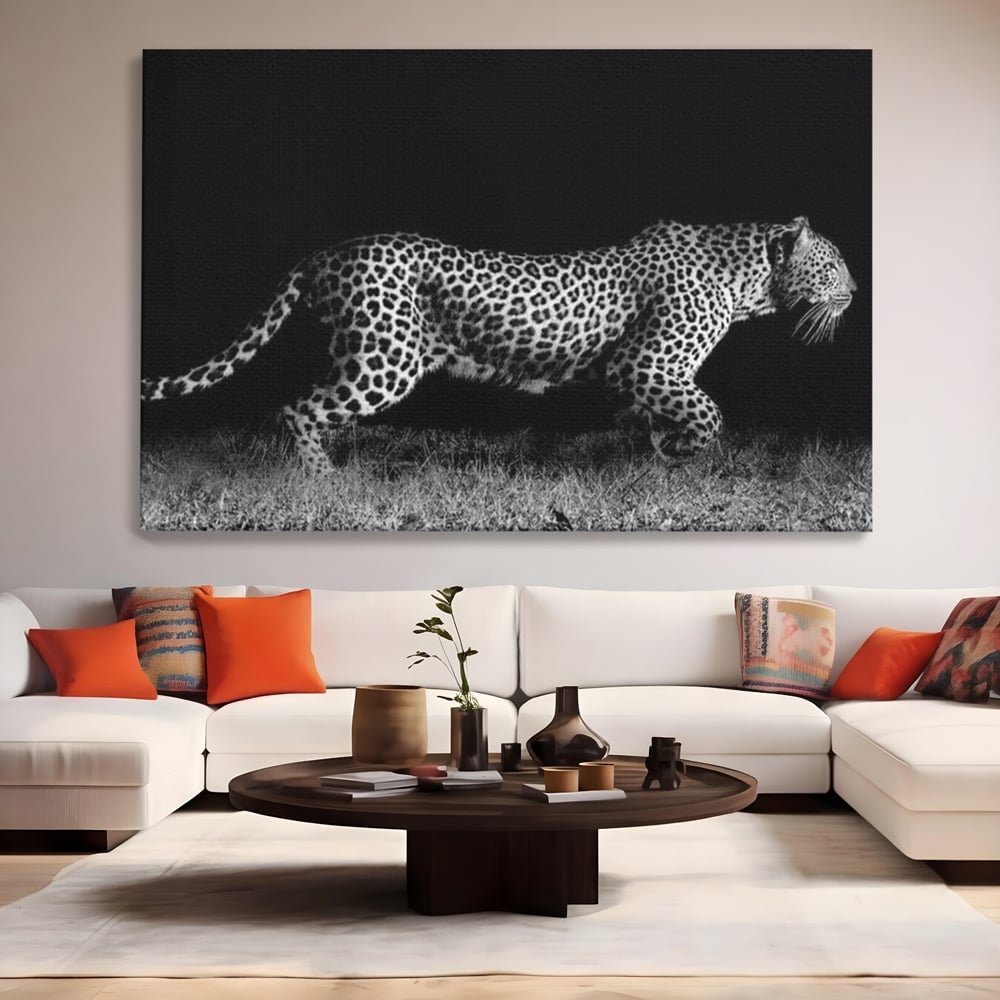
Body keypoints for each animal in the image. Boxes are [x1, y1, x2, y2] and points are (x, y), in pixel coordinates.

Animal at [141, 215, 856, 474]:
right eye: (835, 264)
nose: (855, 291)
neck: (749, 282)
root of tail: (327, 251)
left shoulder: (653, 375)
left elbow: (668, 419)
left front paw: (660, 462)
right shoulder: (644, 363)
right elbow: (709, 413)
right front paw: (683, 454)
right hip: (385, 358)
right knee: (299, 409)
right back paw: (325, 483)